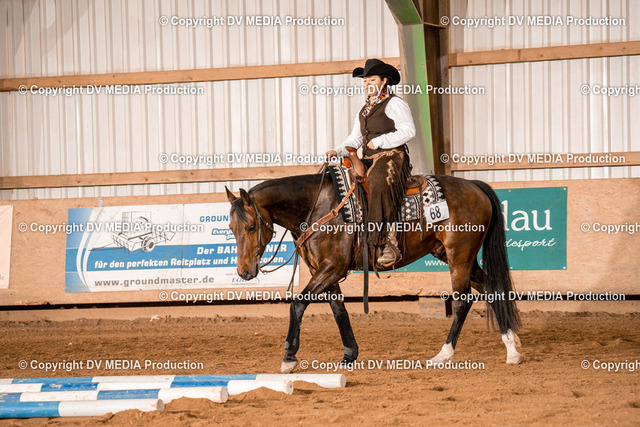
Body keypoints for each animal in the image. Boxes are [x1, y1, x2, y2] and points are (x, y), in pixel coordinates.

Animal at [225, 170, 522, 373]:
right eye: (231, 228)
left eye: (250, 227)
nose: (244, 272)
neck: (318, 207)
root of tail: (474, 185)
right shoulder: (324, 271)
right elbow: (339, 311)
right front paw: (349, 355)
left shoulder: (331, 267)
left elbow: (298, 304)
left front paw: (289, 357)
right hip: (460, 258)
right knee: (492, 290)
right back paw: (512, 348)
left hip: (459, 257)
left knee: (463, 302)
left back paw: (444, 354)